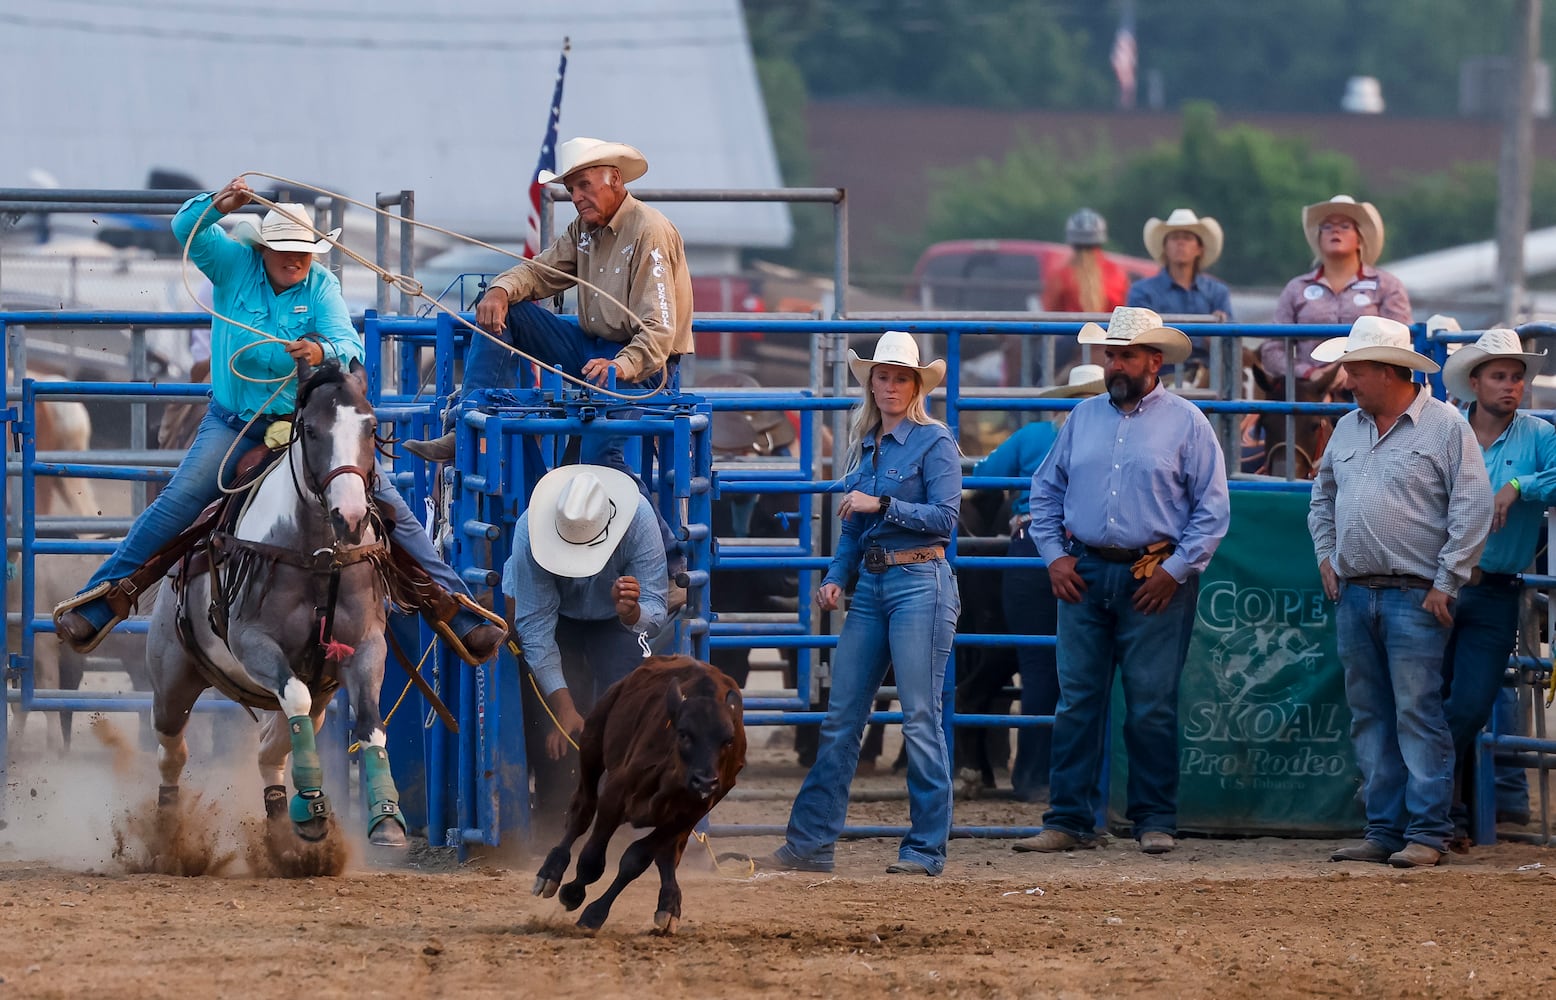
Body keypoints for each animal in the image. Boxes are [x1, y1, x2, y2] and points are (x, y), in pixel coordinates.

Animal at [532, 656, 743, 939]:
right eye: (684, 733)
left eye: (728, 740)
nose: (706, 781)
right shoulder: (614, 796)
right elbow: (591, 859)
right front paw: (573, 892)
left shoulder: (689, 813)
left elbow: (637, 859)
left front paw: (595, 913)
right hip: (591, 744)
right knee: (582, 810)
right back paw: (550, 873)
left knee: (668, 854)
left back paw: (669, 905)